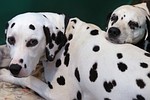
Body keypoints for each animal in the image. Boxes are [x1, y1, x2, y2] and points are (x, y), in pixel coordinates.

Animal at [0, 12, 150, 100]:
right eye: (11, 40)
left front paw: (5, 74)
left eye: (33, 42)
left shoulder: (60, 94)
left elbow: (28, 79)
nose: (14, 68)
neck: (66, 33)